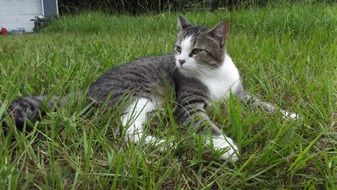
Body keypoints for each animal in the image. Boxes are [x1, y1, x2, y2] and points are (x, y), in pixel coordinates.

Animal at [5, 15, 298, 163]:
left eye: (197, 51)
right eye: (178, 48)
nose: (180, 61)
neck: (214, 74)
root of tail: (89, 89)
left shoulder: (238, 94)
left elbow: (261, 103)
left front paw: (291, 115)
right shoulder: (188, 103)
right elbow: (202, 121)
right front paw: (224, 146)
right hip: (140, 93)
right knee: (127, 132)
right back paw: (170, 144)